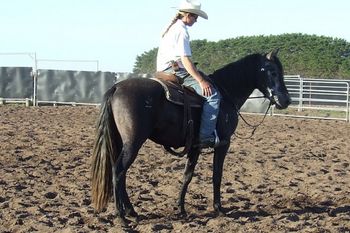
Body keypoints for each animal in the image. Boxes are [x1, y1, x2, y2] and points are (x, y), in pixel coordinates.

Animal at [89, 49, 290, 224]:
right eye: (272, 71)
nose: (286, 100)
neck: (226, 94)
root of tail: (116, 87)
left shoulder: (195, 147)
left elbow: (187, 175)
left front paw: (181, 209)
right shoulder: (223, 144)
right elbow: (217, 175)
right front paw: (219, 208)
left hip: (122, 141)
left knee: (121, 173)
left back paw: (132, 212)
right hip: (133, 143)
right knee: (118, 171)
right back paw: (122, 217)